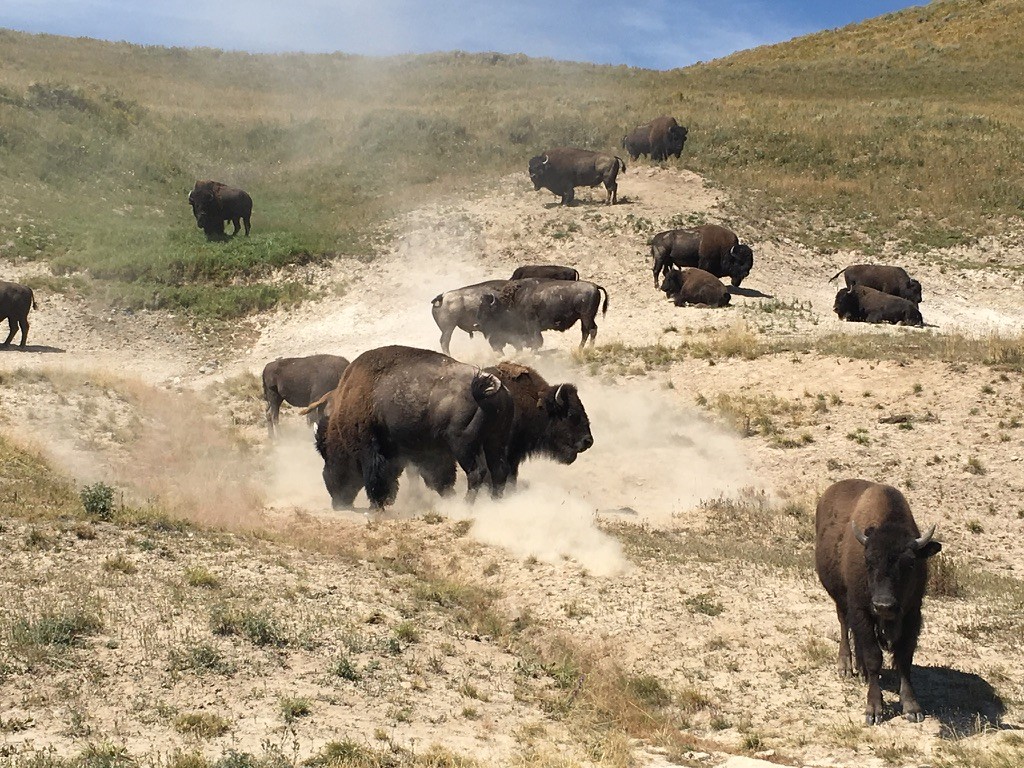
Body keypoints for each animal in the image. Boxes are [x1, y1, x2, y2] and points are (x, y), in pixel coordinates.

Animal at [314, 345, 513, 510]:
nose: (338, 503)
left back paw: (465, 506)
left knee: (477, 473)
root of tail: (491, 387)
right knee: (499, 471)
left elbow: (376, 479)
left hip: (463, 446)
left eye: (327, 455)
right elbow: (437, 477)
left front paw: (375, 508)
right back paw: (496, 502)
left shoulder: (371, 450)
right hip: (494, 441)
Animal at [477, 278, 609, 352]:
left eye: (487, 312)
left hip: (586, 316)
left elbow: (536, 340)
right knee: (585, 331)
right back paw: (580, 349)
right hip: (584, 318)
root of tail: (595, 286)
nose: (478, 324)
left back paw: (589, 350)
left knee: (592, 330)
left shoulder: (531, 324)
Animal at [815, 479, 942, 724]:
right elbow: (874, 656)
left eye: (910, 563)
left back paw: (861, 671)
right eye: (868, 561)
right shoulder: (861, 609)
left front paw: (912, 707)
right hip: (840, 598)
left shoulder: (912, 613)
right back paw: (846, 667)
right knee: (845, 625)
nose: (884, 605)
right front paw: (873, 709)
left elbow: (904, 657)